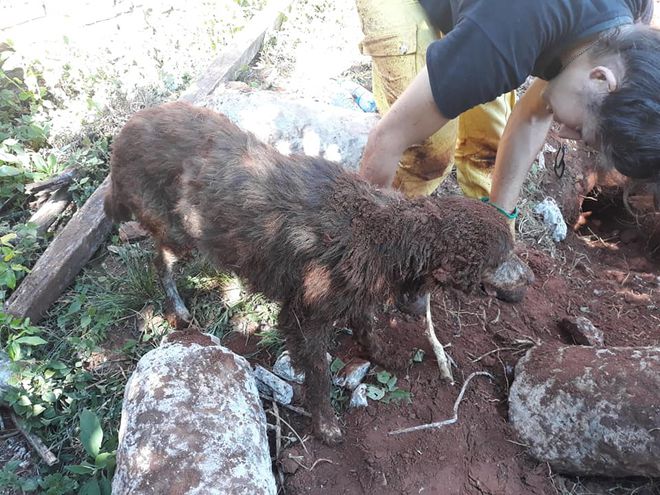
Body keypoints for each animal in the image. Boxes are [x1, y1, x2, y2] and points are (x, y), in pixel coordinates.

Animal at [104, 101, 536, 446]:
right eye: (502, 257)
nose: (531, 277)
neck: (383, 234)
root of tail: (126, 130)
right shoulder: (305, 316)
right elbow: (319, 375)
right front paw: (326, 424)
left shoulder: (360, 294)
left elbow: (368, 328)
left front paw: (383, 355)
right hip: (179, 232)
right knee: (159, 260)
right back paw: (177, 309)